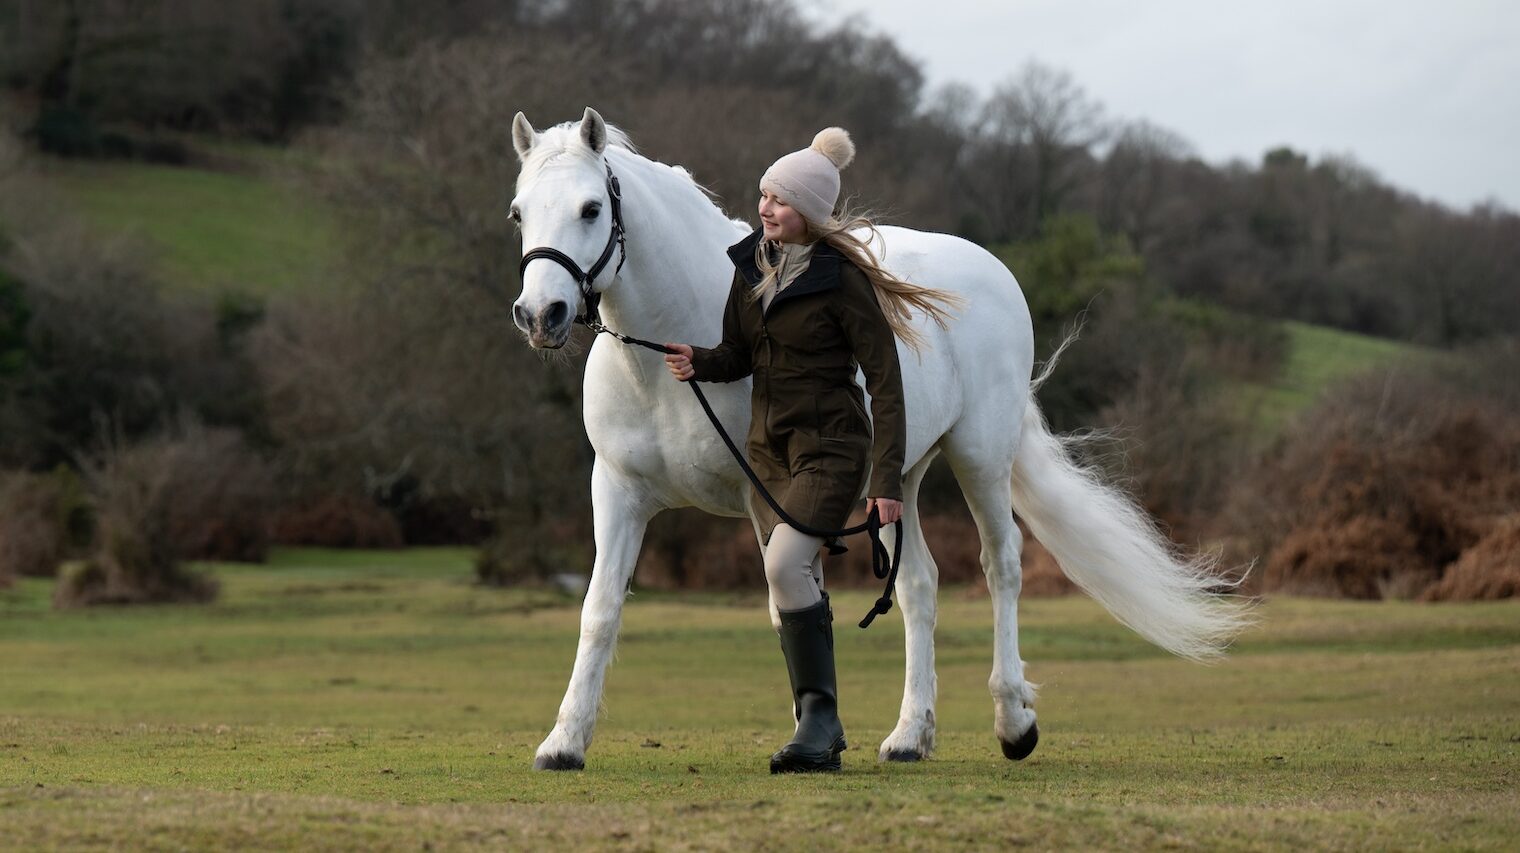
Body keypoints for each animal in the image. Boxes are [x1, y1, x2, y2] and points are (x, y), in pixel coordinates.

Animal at [508, 107, 1252, 771]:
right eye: (519, 213)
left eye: (590, 209)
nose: (541, 314)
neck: (672, 344)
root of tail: (991, 270)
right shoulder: (618, 492)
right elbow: (600, 609)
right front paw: (564, 742)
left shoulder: (768, 497)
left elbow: (788, 606)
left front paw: (813, 738)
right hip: (894, 481)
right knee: (919, 586)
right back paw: (909, 736)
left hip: (979, 459)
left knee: (1001, 568)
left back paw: (1014, 722)